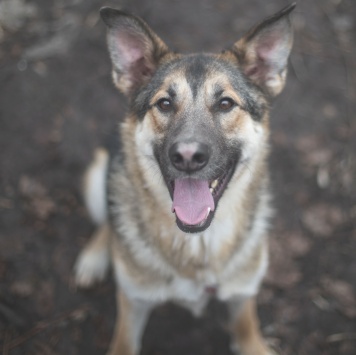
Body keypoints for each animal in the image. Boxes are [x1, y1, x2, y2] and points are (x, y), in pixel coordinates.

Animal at [74, 3, 294, 355]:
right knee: (109, 218)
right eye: (164, 103)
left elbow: (248, 329)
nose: (188, 156)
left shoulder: (243, 292)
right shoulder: (133, 303)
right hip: (98, 173)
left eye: (225, 103)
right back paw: (95, 257)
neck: (197, 245)